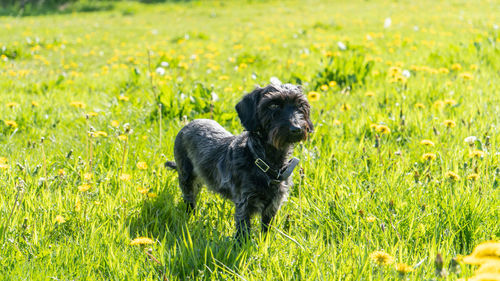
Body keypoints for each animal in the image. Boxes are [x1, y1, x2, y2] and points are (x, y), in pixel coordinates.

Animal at [165, 83, 312, 241]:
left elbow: (266, 229)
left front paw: (265, 243)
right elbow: (243, 229)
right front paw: (242, 244)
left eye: (300, 105)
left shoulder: (273, 204)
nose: (296, 128)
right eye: (273, 105)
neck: (263, 160)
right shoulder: (244, 202)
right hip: (187, 177)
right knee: (189, 198)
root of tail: (189, 124)